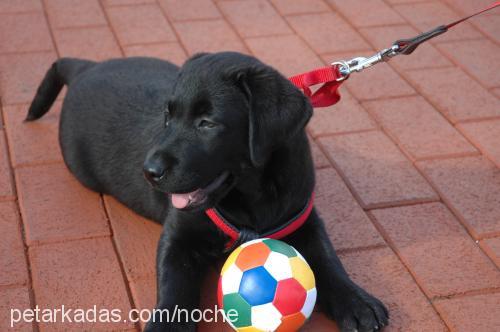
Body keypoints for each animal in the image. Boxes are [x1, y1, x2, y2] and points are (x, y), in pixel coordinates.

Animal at [26, 53, 386, 330]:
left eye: (207, 123)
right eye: (167, 116)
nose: (149, 171)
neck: (251, 195)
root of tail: (85, 68)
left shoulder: (302, 216)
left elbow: (327, 258)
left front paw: (357, 301)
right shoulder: (178, 238)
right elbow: (174, 289)